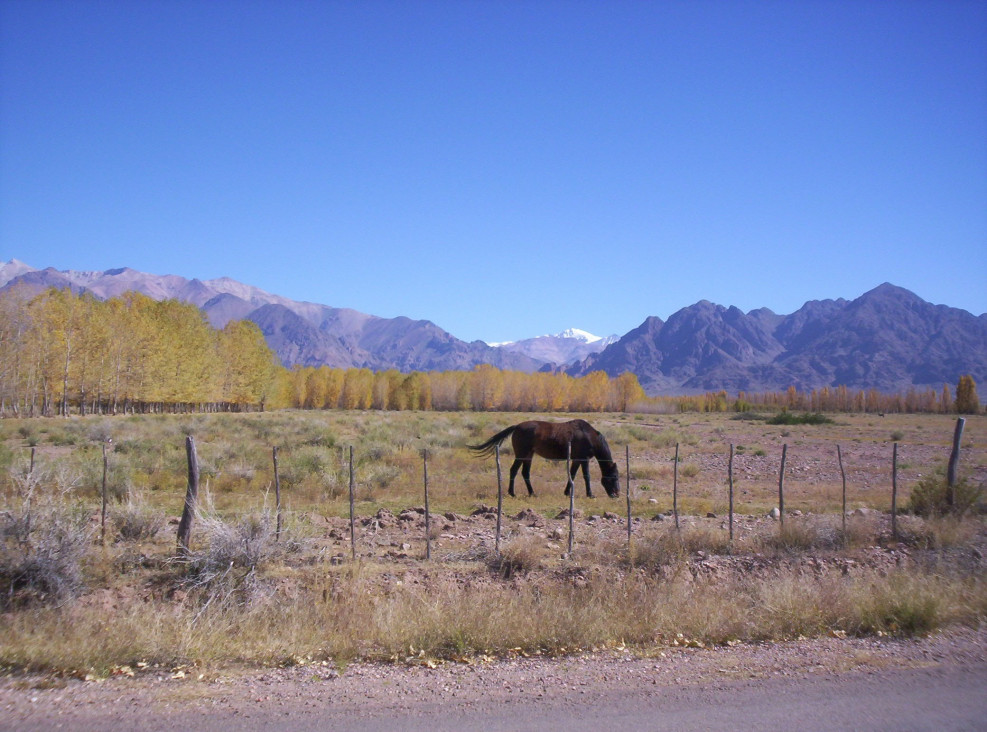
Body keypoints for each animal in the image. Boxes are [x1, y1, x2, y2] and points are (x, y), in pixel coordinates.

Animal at [468, 420, 620, 500]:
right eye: (614, 477)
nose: (617, 494)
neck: (589, 436)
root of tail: (517, 426)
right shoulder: (584, 459)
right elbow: (586, 477)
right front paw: (590, 494)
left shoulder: (576, 460)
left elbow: (572, 475)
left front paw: (567, 492)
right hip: (522, 454)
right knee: (514, 471)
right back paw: (512, 493)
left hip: (529, 455)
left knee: (525, 473)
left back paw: (532, 493)